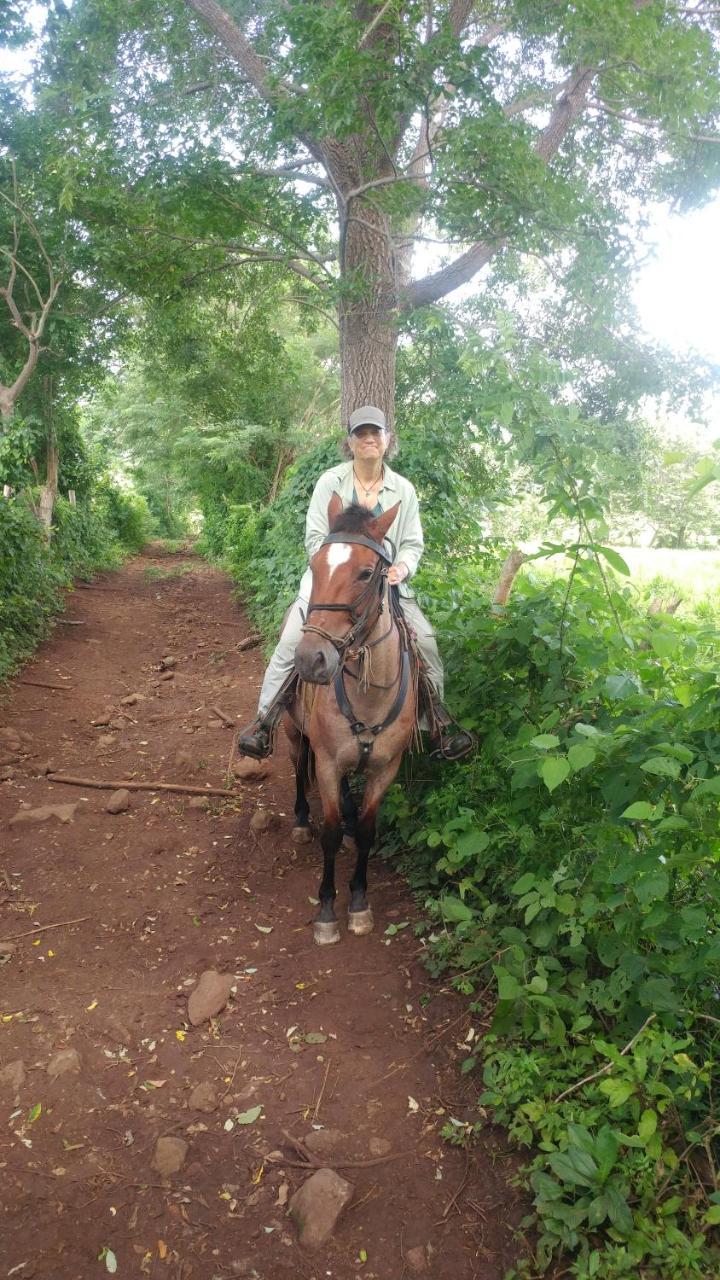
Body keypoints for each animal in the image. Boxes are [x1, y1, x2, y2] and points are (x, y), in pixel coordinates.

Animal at [281, 494, 415, 947]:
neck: (368, 696)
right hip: (293, 732)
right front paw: (326, 910)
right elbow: (330, 831)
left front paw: (359, 902)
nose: (311, 659)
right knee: (297, 766)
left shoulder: (386, 767)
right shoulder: (326, 762)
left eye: (366, 573)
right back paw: (301, 819)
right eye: (314, 566)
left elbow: (369, 831)